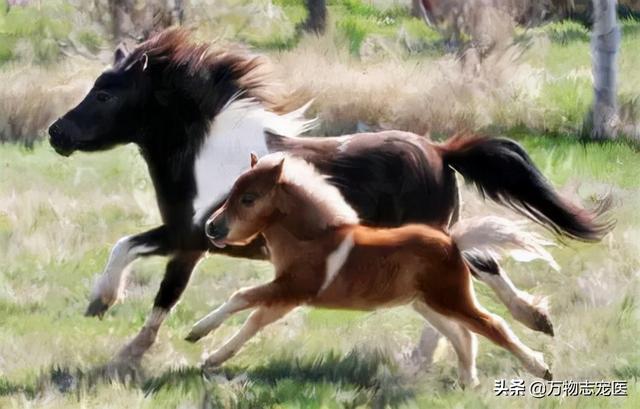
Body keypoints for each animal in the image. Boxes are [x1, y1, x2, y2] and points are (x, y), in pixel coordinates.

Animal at [188, 153, 556, 386]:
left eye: (248, 199)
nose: (211, 228)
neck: (313, 238)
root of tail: (452, 242)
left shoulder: (293, 288)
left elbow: (241, 298)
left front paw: (195, 332)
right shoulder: (287, 297)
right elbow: (254, 321)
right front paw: (212, 358)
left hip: (450, 299)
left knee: (492, 326)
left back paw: (540, 368)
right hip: (427, 303)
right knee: (462, 334)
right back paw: (468, 381)